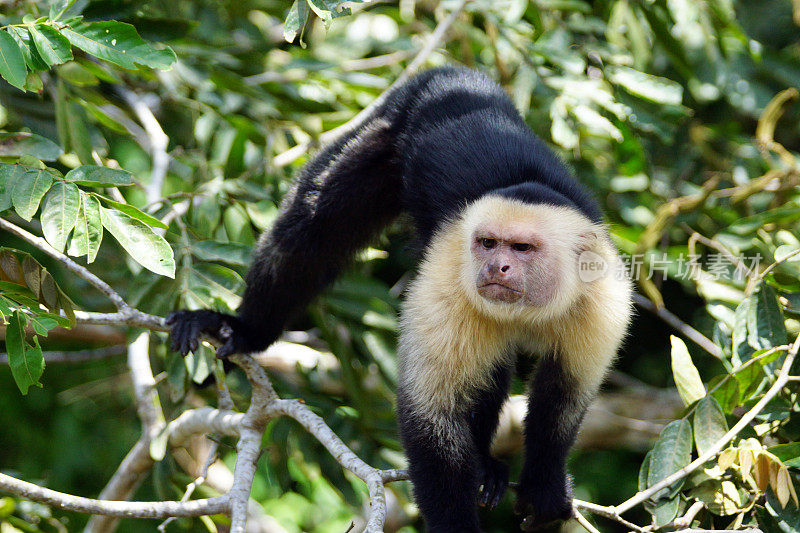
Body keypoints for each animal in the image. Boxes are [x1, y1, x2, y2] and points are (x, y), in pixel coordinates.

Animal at [169, 66, 632, 532]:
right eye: (487, 243)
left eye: (521, 248)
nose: (495, 267)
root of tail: (457, 75)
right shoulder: (448, 287)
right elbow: (429, 418)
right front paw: (457, 526)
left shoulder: (603, 298)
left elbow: (565, 395)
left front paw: (544, 486)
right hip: (385, 132)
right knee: (310, 232)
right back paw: (246, 329)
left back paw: (486, 466)